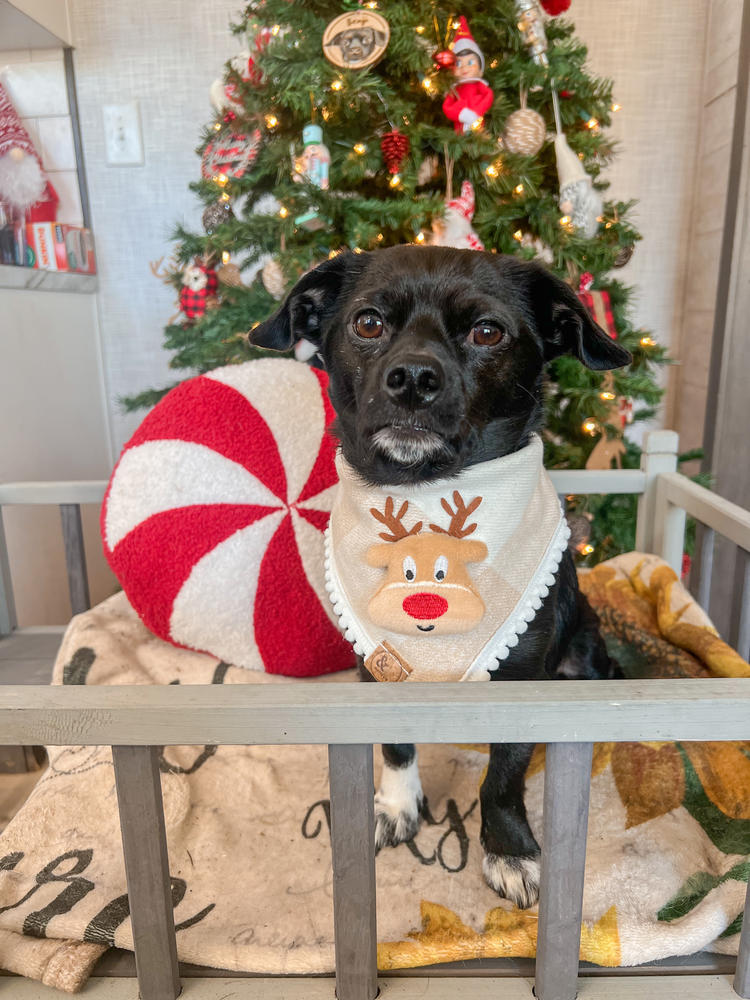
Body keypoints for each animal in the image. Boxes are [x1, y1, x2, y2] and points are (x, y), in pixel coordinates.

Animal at [254, 246, 636, 912]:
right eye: (368, 323)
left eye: (487, 332)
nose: (412, 377)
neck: (425, 499)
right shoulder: (378, 664)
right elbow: (396, 744)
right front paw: (395, 805)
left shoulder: (521, 681)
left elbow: (503, 778)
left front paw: (509, 851)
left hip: (584, 652)